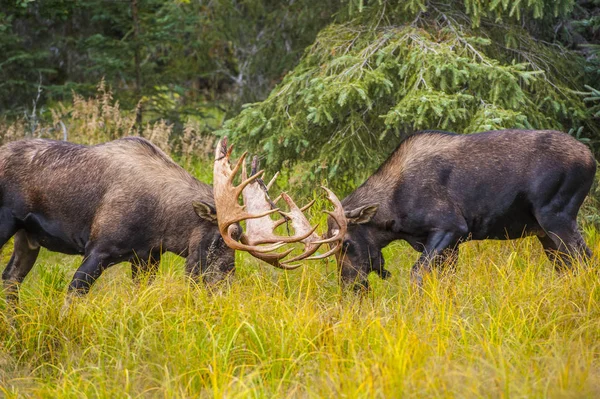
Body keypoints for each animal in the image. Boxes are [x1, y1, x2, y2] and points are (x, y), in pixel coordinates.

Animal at [0, 136, 239, 302]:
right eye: (221, 239)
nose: (226, 284)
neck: (165, 226)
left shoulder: (146, 259)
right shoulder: (97, 250)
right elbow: (72, 297)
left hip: (27, 238)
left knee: (11, 279)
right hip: (6, 225)